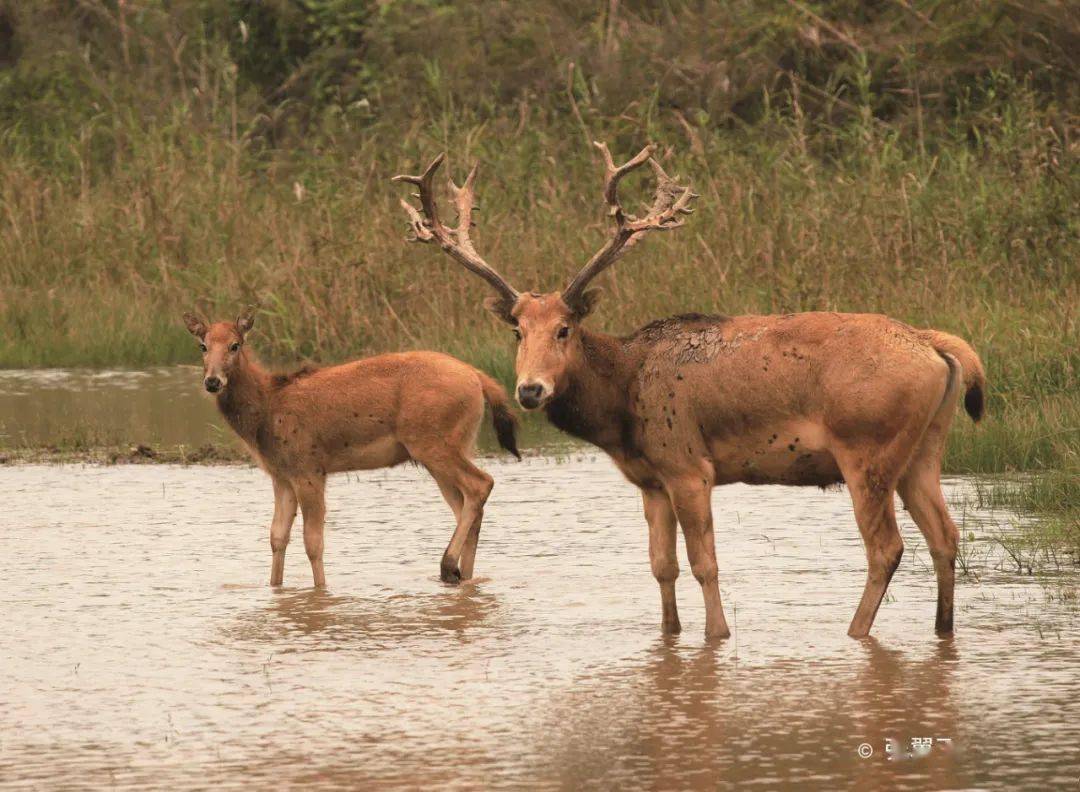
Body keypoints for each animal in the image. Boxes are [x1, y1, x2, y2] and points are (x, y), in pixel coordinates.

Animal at [181, 309, 518, 587]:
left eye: (235, 345)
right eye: (202, 346)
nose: (212, 381)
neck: (265, 412)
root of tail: (479, 378)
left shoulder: (309, 468)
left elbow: (313, 542)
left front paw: (320, 591)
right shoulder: (281, 475)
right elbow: (277, 537)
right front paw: (275, 587)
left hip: (434, 443)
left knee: (481, 484)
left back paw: (447, 566)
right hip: (451, 447)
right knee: (466, 506)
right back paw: (464, 574)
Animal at [397, 140, 989, 635]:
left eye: (565, 329)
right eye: (517, 331)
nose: (530, 391)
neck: (622, 401)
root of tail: (936, 346)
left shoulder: (687, 465)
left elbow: (705, 563)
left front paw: (717, 635)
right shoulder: (650, 480)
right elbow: (662, 566)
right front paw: (670, 634)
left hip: (867, 448)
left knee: (886, 548)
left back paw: (855, 634)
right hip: (923, 450)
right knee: (945, 535)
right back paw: (943, 631)